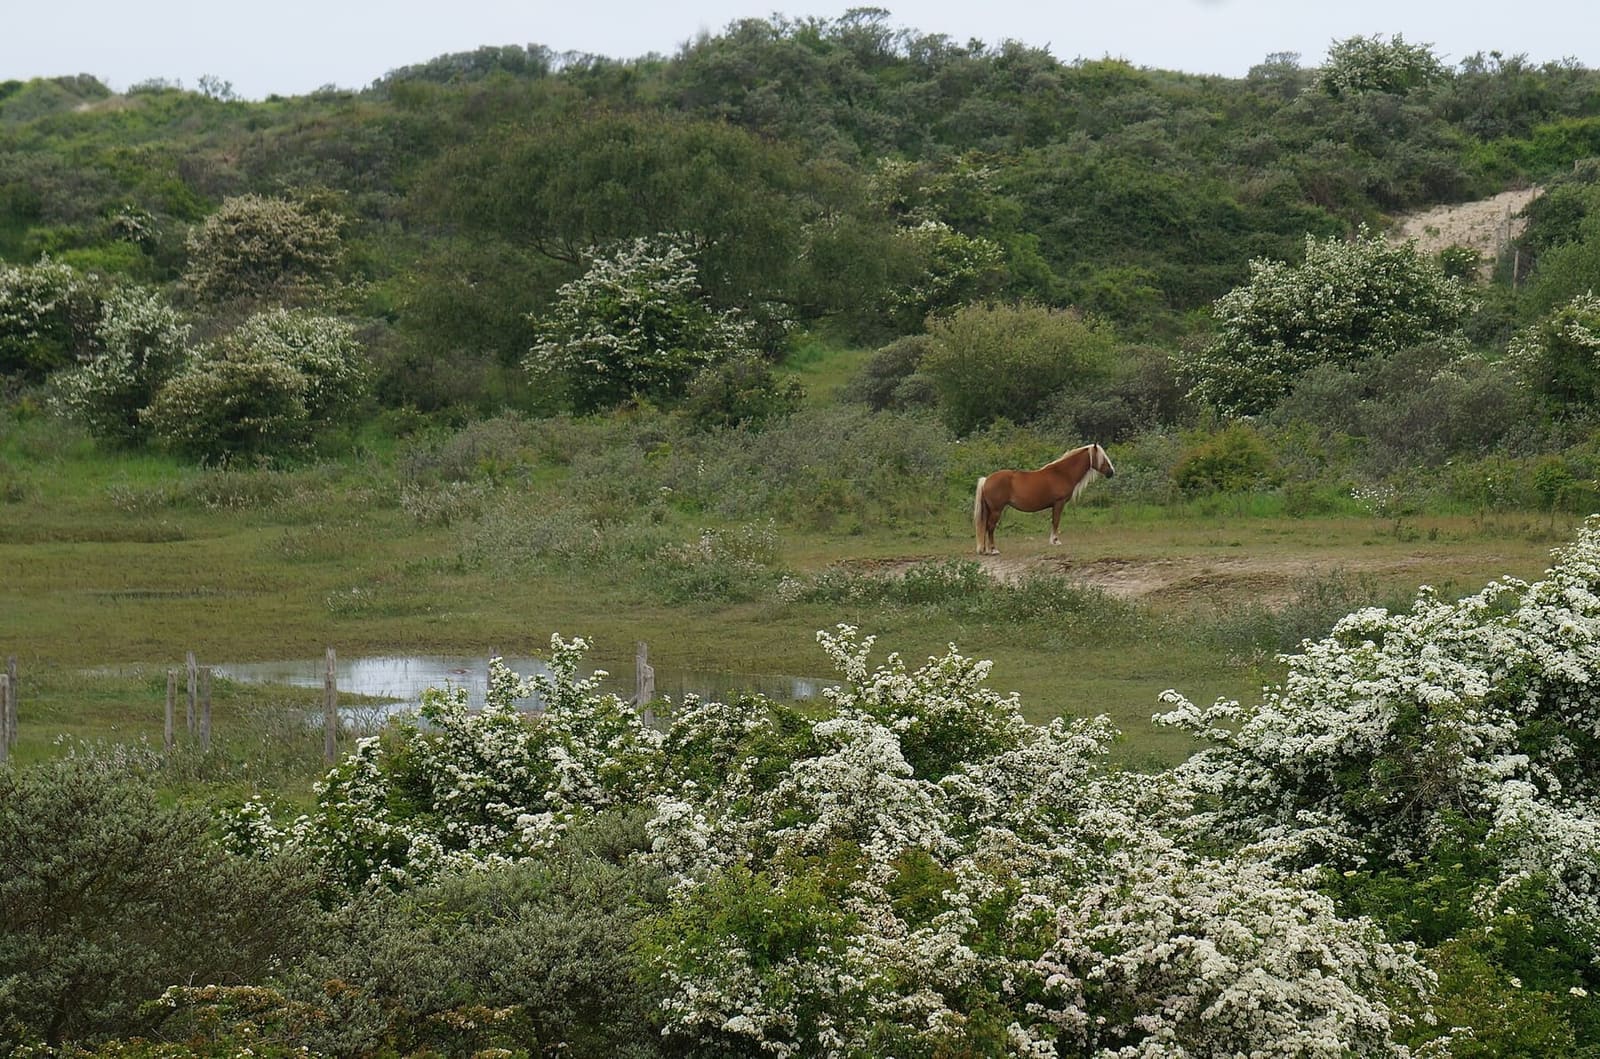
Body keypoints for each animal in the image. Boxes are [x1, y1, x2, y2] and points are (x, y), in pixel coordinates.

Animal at [973, 444, 1115, 555]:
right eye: (1103, 458)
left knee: (985, 527)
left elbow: (1053, 521)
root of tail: (986, 480)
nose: (1111, 472)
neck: (1062, 473)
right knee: (990, 527)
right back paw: (993, 550)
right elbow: (1056, 521)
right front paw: (1056, 541)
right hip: (996, 510)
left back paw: (985, 550)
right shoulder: (1059, 503)